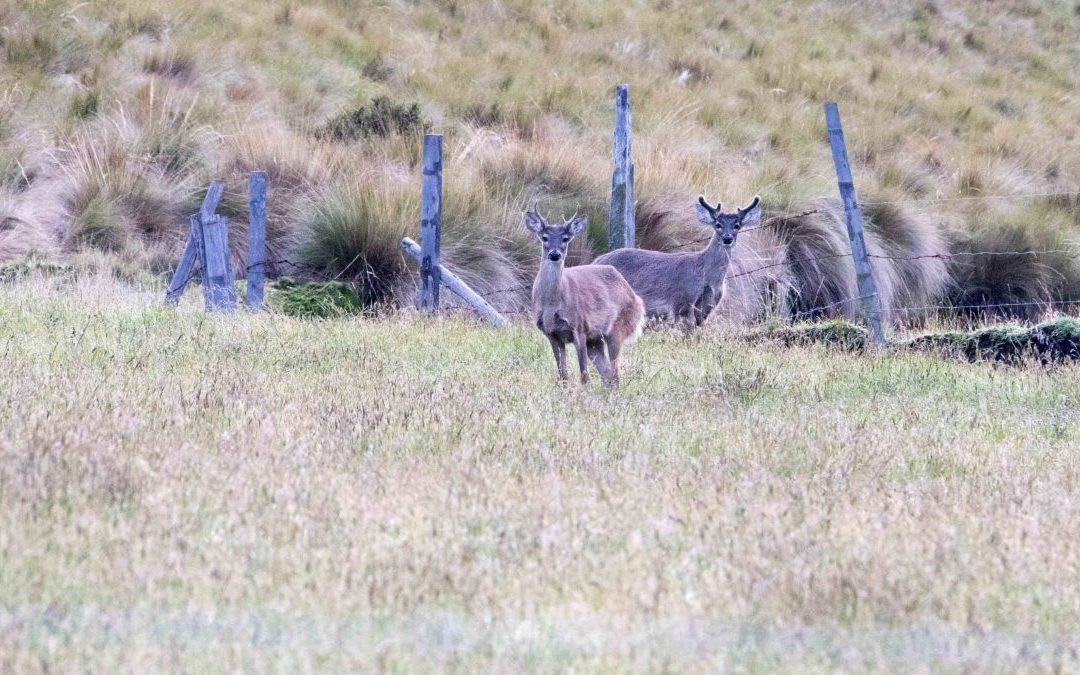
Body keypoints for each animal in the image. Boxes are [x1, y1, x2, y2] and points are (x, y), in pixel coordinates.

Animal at [527, 208, 643, 386]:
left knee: (615, 375)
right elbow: (563, 375)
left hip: (618, 327)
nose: (555, 254)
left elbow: (584, 375)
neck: (552, 305)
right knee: (607, 375)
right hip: (595, 340)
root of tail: (636, 297)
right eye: (544, 237)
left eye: (565, 238)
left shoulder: (579, 327)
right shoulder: (551, 334)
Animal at [591, 193, 760, 328]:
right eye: (718, 224)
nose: (727, 238)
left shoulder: (707, 308)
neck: (706, 275)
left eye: (737, 225)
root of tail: (595, 261)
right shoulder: (682, 301)